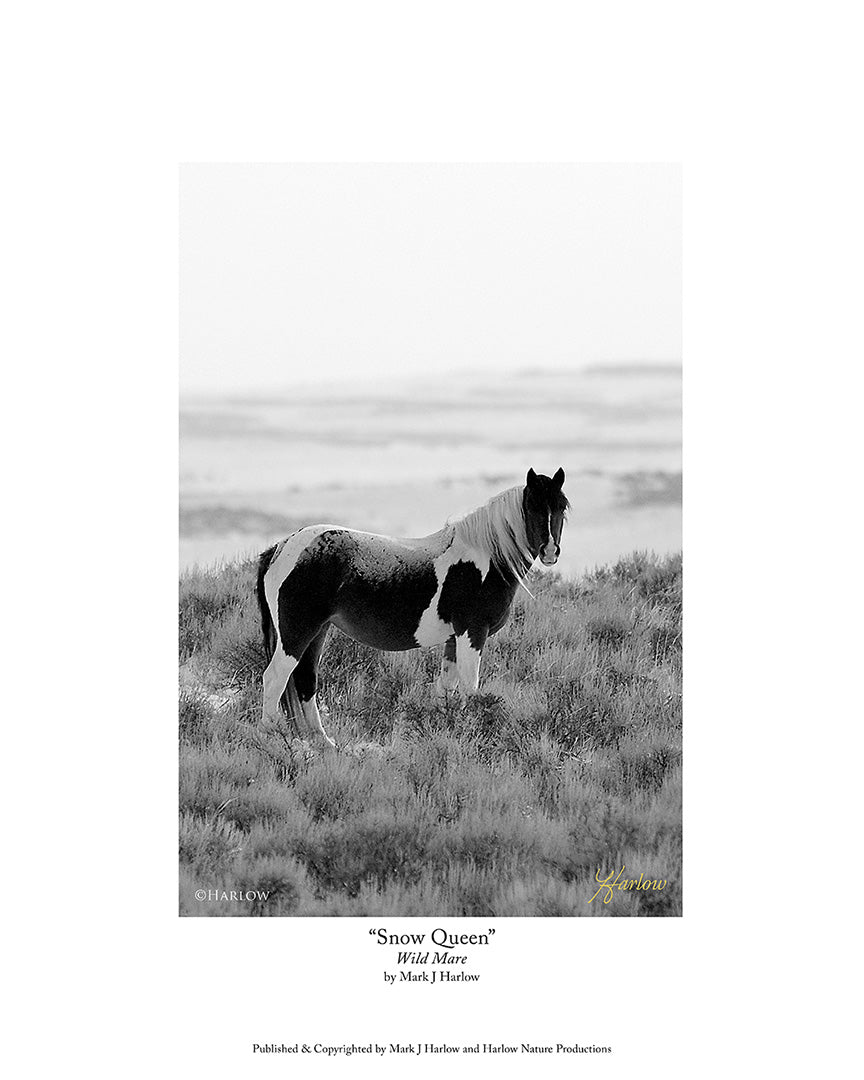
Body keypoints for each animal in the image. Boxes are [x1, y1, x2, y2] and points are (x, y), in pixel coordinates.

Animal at [256, 467, 568, 747]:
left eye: (561, 508)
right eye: (532, 507)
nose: (550, 552)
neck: (486, 559)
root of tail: (281, 548)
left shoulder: (454, 639)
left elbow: (447, 689)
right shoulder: (472, 633)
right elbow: (470, 689)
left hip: (317, 631)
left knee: (305, 680)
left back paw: (323, 742)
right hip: (297, 632)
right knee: (275, 678)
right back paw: (272, 738)